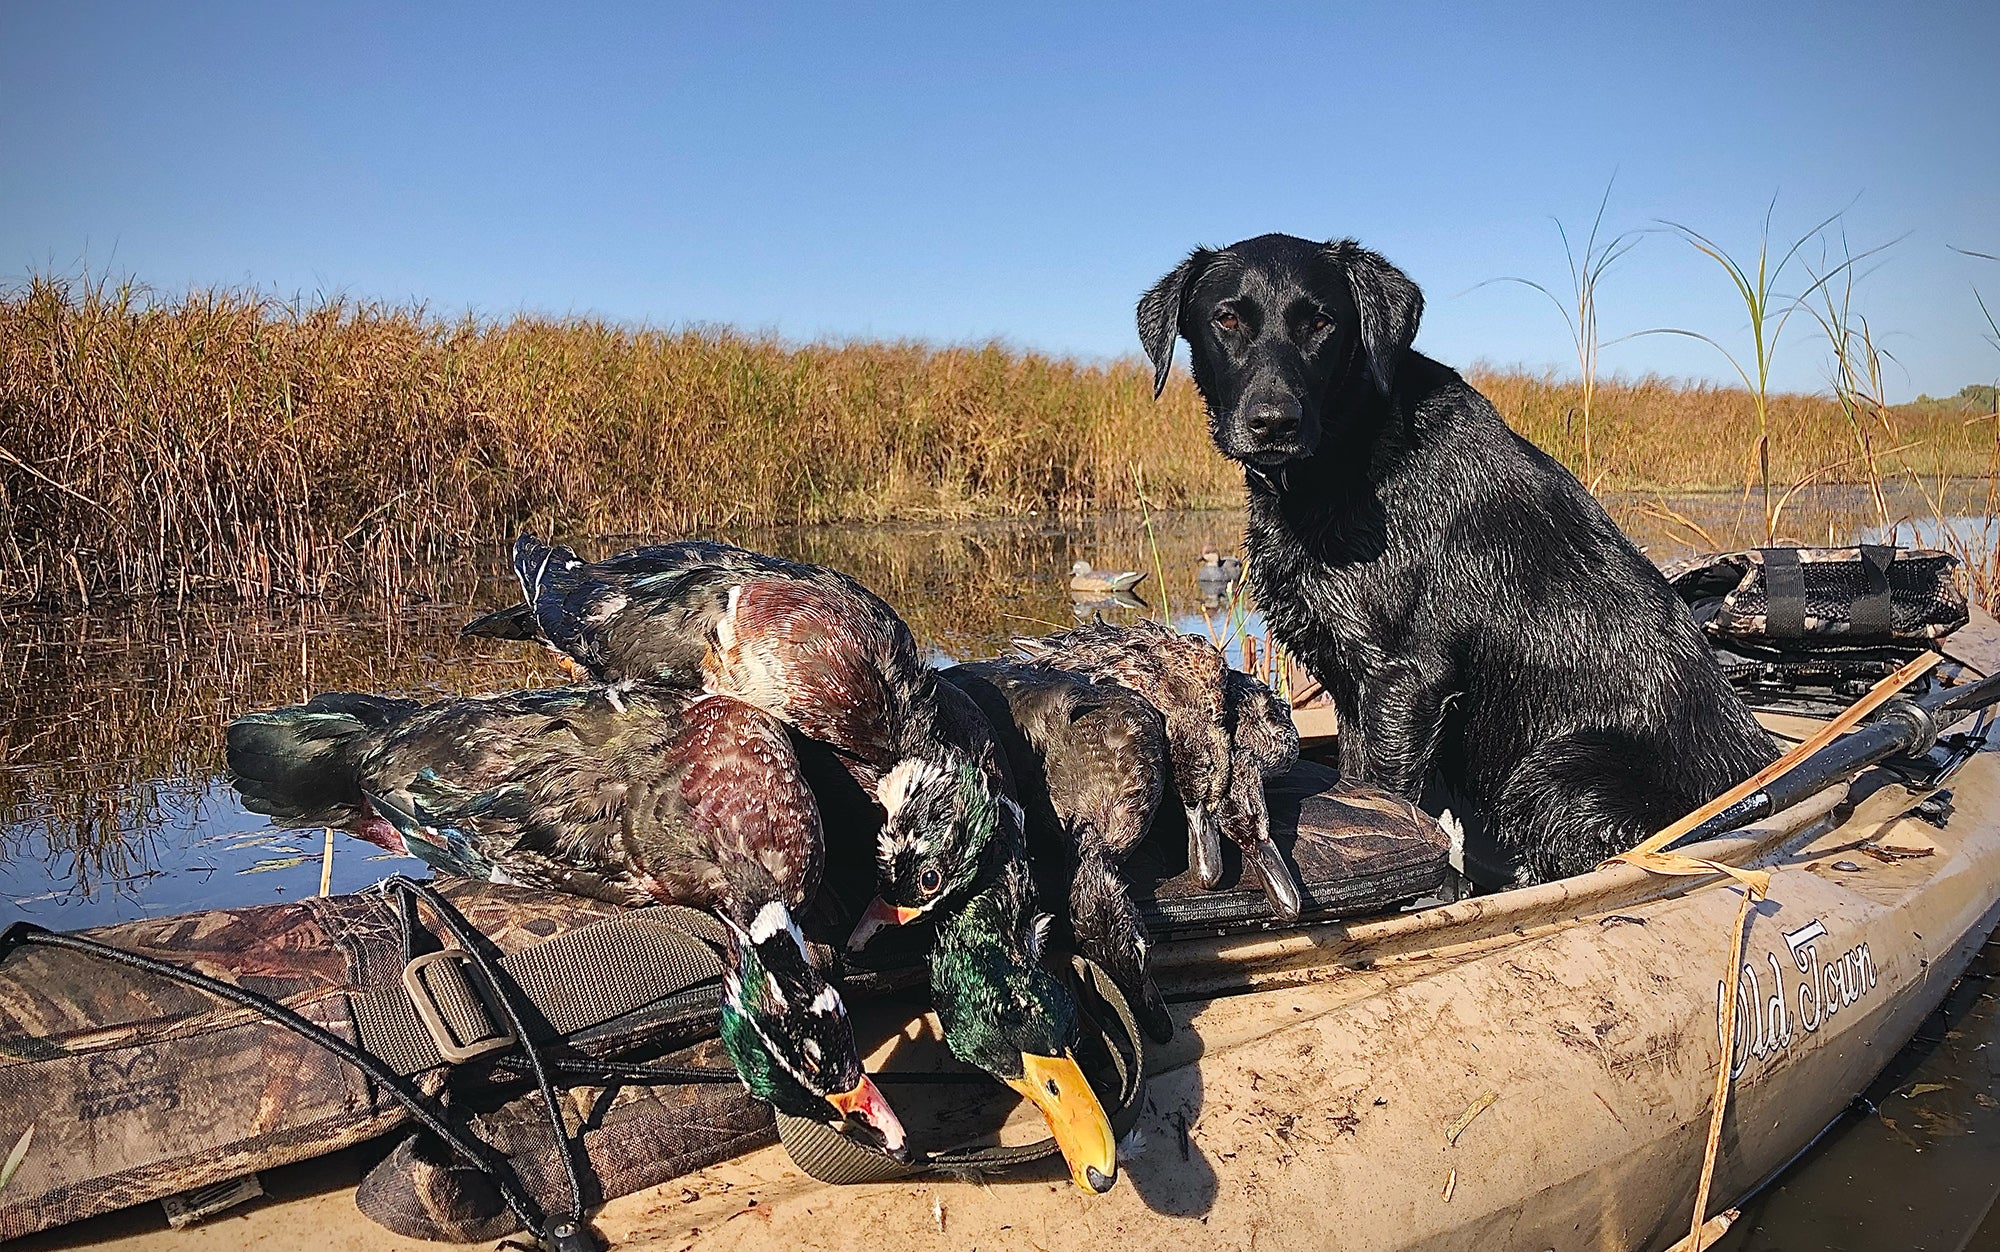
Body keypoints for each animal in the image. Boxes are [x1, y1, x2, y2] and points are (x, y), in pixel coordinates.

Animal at [1136, 232, 1776, 876]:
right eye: (1226, 319)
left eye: (1320, 321)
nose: (1274, 423)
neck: (1351, 455)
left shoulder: (1405, 679)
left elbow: (1386, 793)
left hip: (1558, 772)